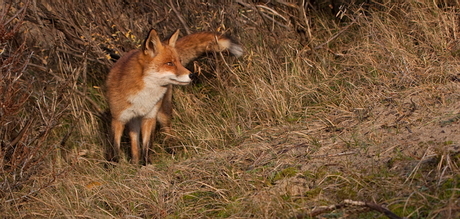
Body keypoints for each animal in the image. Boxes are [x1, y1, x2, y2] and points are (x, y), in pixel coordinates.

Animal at [106, 29, 243, 164]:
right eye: (169, 63)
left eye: (179, 62)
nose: (192, 75)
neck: (143, 97)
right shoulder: (118, 118)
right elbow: (115, 149)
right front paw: (114, 167)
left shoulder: (149, 117)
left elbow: (147, 147)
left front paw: (147, 165)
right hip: (134, 121)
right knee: (134, 145)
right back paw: (134, 163)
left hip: (163, 113)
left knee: (168, 133)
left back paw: (171, 151)